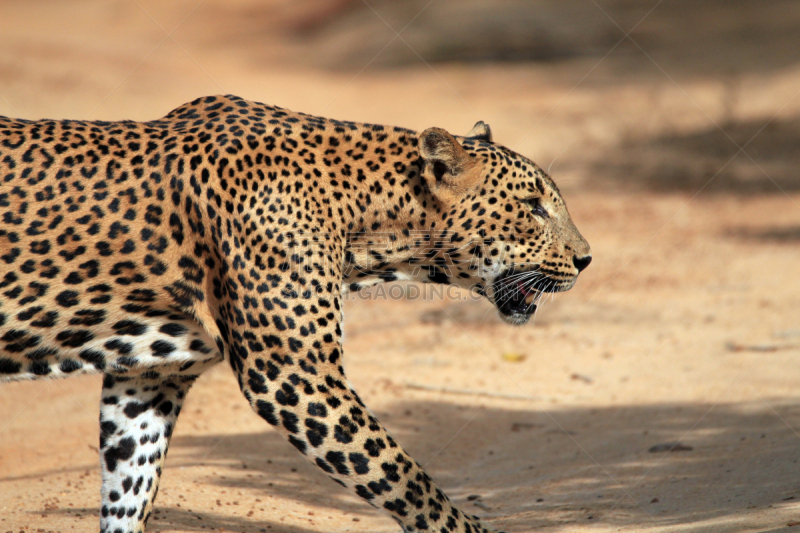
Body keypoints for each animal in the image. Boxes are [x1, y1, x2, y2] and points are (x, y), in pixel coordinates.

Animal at [0, 95, 588, 532]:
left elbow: (129, 487)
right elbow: (401, 475)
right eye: (534, 207)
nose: (586, 259)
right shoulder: (295, 373)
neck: (368, 219)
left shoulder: (151, 375)